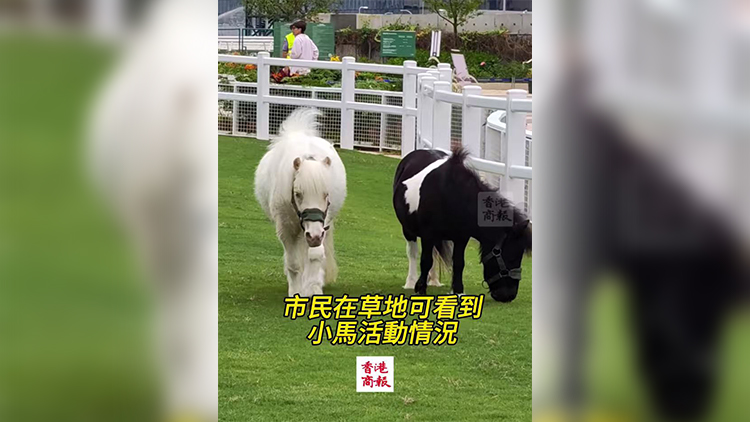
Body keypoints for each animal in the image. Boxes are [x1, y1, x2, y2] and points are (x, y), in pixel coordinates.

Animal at [254, 108, 347, 297]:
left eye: (326, 194)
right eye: (298, 194)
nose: (314, 236)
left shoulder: (320, 227)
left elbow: (315, 256)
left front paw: (313, 288)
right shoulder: (286, 229)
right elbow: (293, 263)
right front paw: (296, 291)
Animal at [393, 147, 532, 302]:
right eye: (511, 256)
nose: (508, 295)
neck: (451, 194)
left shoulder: (461, 238)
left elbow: (459, 263)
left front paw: (458, 291)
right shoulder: (428, 235)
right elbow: (425, 260)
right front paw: (421, 289)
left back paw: (433, 280)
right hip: (408, 230)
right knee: (413, 253)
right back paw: (411, 282)